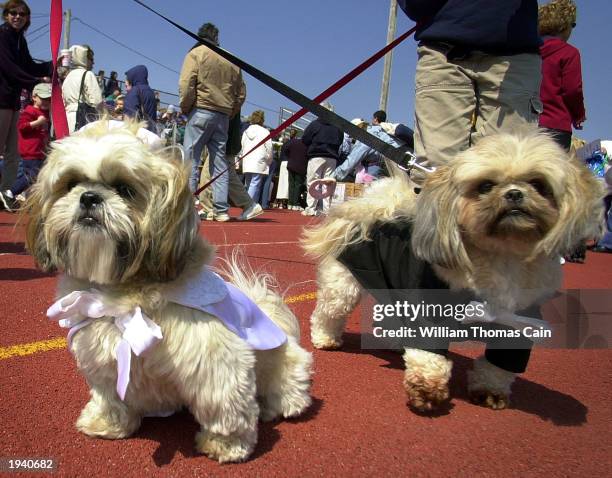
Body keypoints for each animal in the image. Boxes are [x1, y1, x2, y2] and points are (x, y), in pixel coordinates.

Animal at [22, 122, 310, 464]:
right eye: (71, 183)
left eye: (124, 188)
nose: (89, 197)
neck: (122, 292)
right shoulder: (103, 358)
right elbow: (110, 395)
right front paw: (107, 422)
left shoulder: (216, 362)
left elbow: (224, 405)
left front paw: (226, 445)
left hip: (283, 365)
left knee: (288, 388)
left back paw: (275, 406)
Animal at [302, 133, 604, 412]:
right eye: (485, 185)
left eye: (539, 185)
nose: (515, 194)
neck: (501, 260)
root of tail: (376, 206)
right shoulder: (429, 313)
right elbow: (430, 357)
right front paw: (426, 390)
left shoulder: (518, 325)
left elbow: (499, 367)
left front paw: (491, 392)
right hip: (343, 285)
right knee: (327, 313)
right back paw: (326, 339)